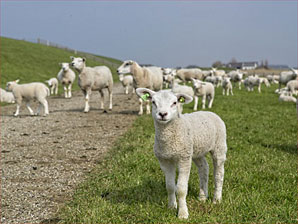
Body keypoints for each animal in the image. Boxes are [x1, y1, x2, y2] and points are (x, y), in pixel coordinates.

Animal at [135, 87, 226, 219]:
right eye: (153, 102)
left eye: (174, 103)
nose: (162, 114)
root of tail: (210, 112)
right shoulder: (165, 160)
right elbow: (170, 186)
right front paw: (172, 206)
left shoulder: (183, 159)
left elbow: (181, 189)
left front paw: (183, 213)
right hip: (196, 150)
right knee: (204, 168)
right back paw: (203, 196)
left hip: (219, 146)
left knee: (219, 173)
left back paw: (216, 199)